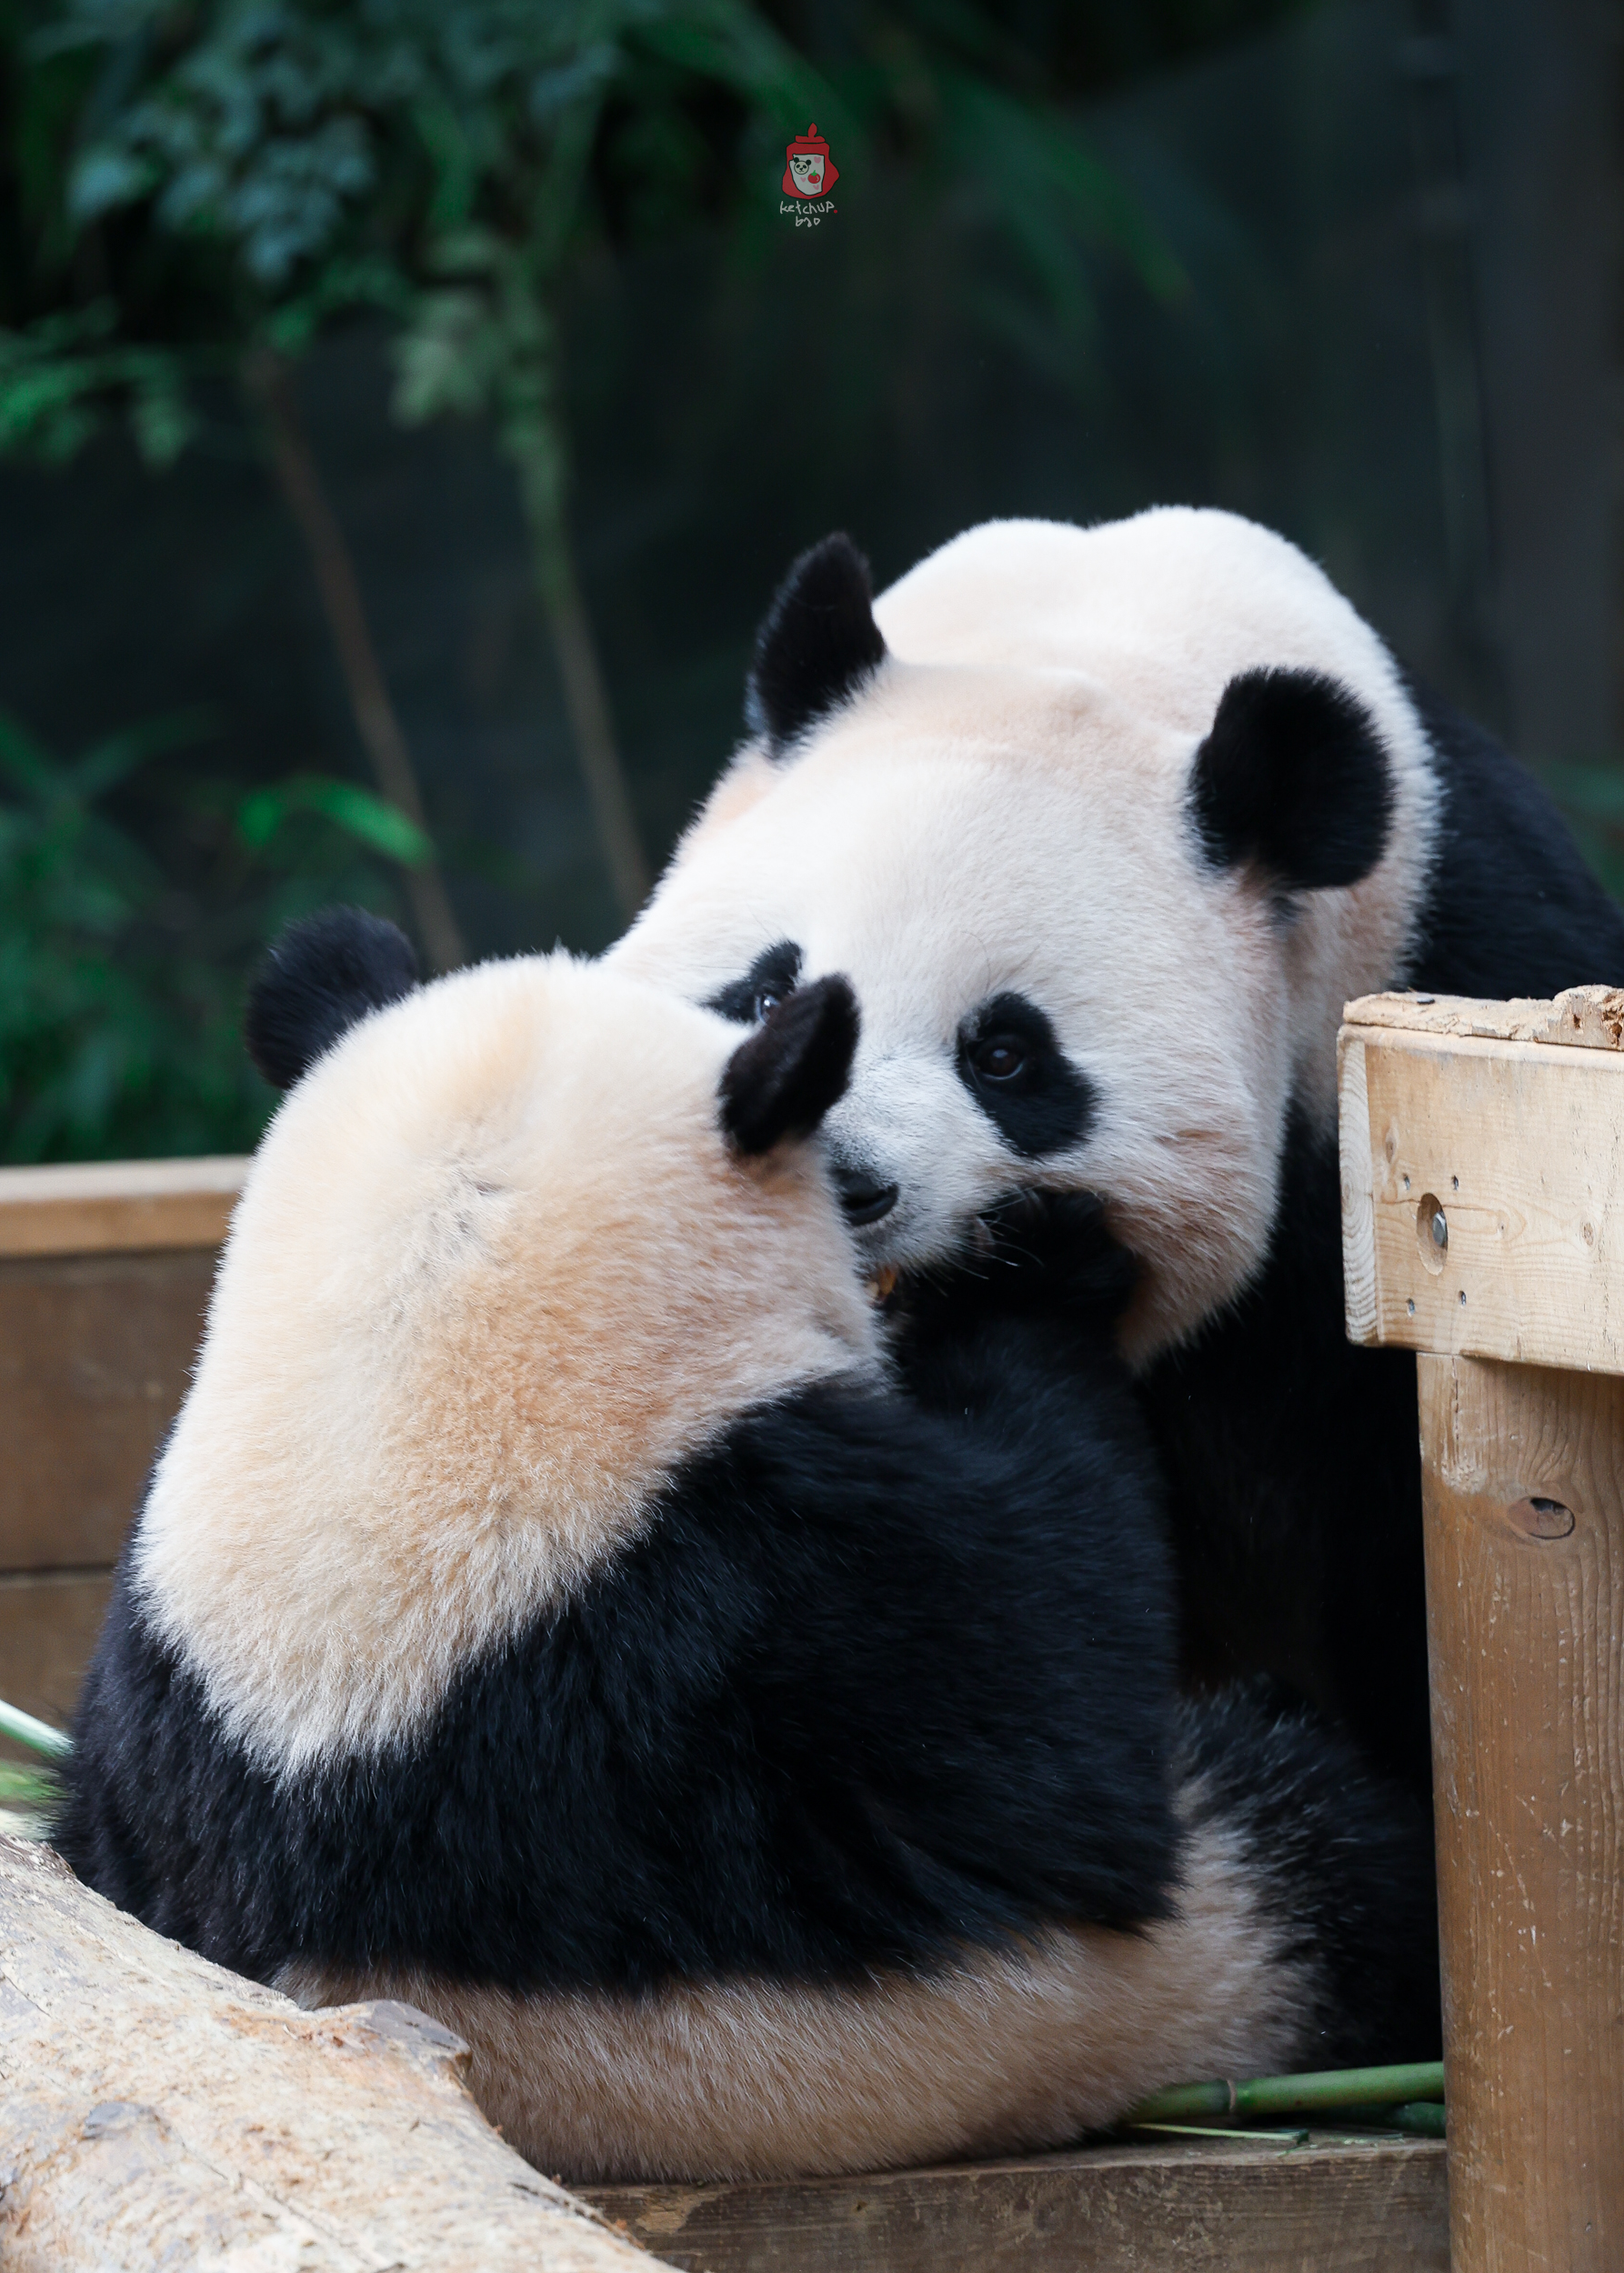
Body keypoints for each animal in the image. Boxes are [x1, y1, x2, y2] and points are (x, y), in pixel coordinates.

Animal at [56, 896, 1437, 2173]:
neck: (403, 1377)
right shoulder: (775, 1602)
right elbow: (1063, 1756)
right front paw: (1039, 1271)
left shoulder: (150, 1666)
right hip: (1154, 1974)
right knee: (1328, 1844)